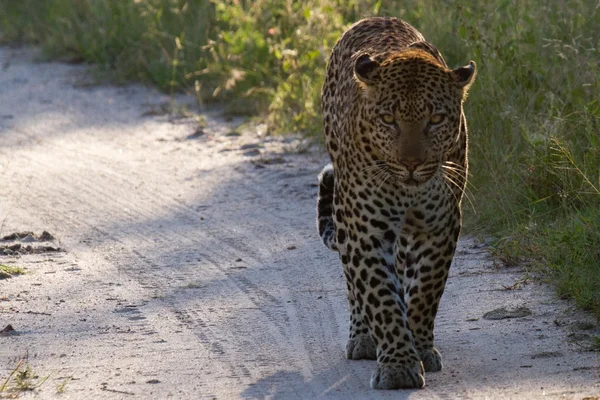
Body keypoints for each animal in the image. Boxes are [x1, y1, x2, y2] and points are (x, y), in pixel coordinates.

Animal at [316, 17, 476, 390]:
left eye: (435, 120)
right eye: (389, 120)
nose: (412, 164)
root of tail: (377, 18)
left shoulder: (439, 225)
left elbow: (425, 292)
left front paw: (419, 347)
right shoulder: (365, 229)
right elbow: (379, 296)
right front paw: (399, 365)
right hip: (346, 216)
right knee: (354, 283)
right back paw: (362, 338)